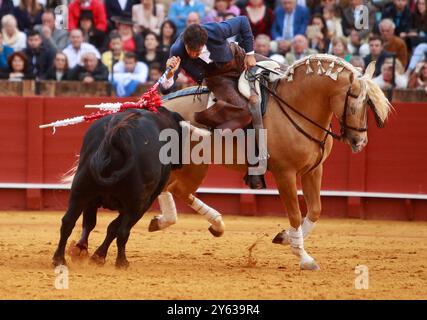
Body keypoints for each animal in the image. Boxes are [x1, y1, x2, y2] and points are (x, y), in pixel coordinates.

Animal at [52, 107, 185, 268]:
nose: (180, 163)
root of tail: (120, 134)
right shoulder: (142, 203)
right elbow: (114, 228)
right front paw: (98, 256)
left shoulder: (91, 199)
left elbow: (92, 223)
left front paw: (82, 251)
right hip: (136, 204)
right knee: (123, 231)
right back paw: (122, 262)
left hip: (80, 189)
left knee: (68, 221)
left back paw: (59, 259)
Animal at [152, 55, 392, 270]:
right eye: (355, 102)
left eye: (368, 103)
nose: (360, 141)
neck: (298, 106)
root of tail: (157, 105)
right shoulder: (285, 173)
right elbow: (295, 213)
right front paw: (304, 257)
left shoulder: (314, 170)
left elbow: (315, 209)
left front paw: (285, 237)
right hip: (194, 166)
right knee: (175, 188)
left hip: (191, 166)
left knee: (174, 188)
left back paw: (188, 222)